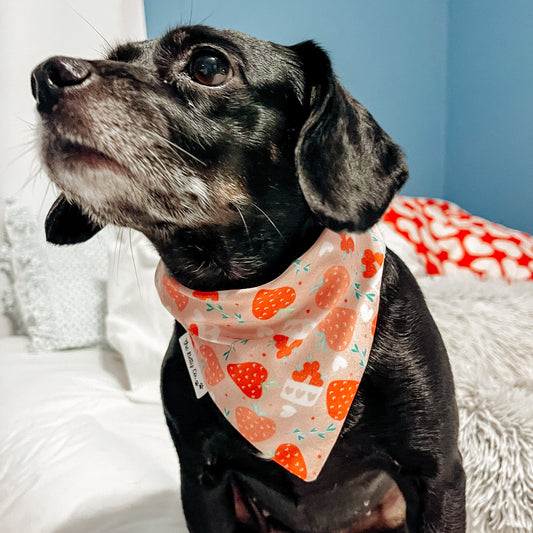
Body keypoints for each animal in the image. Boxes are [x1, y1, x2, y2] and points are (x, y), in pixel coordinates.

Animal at [31, 25, 464, 532]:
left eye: (208, 65)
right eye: (117, 57)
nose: (44, 76)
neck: (262, 307)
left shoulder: (437, 475)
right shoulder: (201, 478)